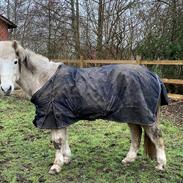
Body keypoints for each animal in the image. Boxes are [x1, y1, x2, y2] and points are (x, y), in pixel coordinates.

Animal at [0, 40, 167, 175]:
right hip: (131, 113)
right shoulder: (61, 117)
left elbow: (57, 141)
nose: (6, 88)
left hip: (145, 116)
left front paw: (56, 166)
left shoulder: (54, 116)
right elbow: (64, 138)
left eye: (15, 62)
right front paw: (66, 159)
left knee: (156, 136)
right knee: (136, 134)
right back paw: (129, 159)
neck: (45, 79)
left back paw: (161, 165)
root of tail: (152, 75)